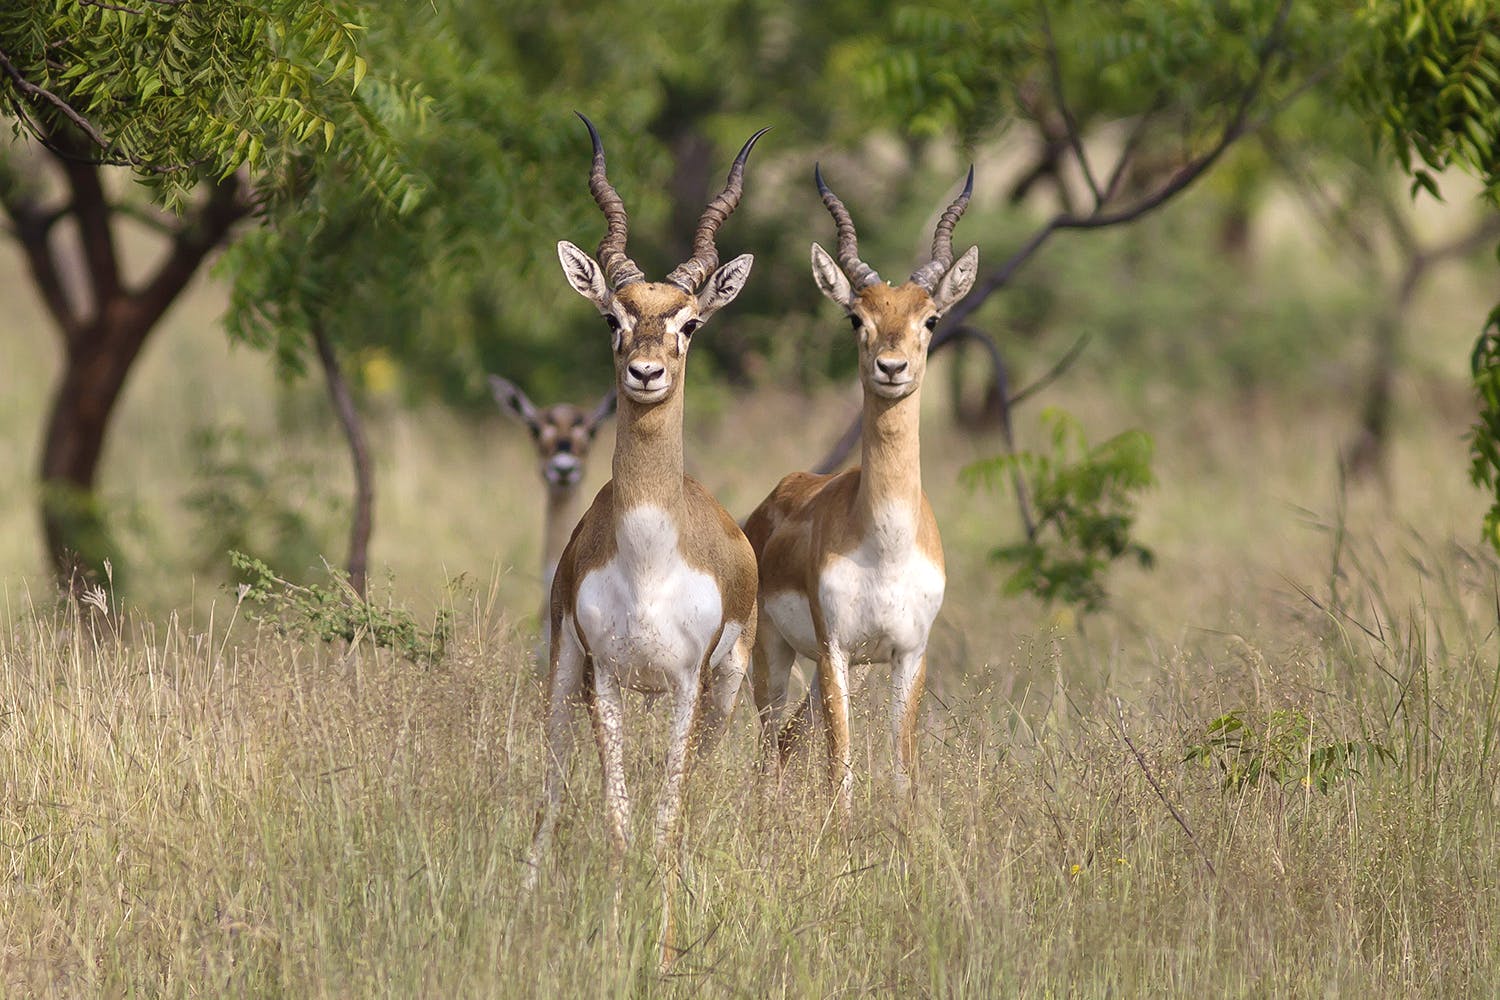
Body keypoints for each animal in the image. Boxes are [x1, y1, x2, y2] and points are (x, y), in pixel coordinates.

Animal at [522, 113, 768, 965]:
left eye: (690, 322)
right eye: (613, 318)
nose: (647, 373)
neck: (650, 559)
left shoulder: (691, 684)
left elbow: (665, 826)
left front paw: (660, 949)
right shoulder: (603, 677)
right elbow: (620, 825)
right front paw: (612, 940)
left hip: (724, 694)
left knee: (694, 800)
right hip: (566, 676)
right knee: (549, 794)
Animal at [744, 164, 978, 815]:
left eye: (930, 318)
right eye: (857, 317)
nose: (891, 368)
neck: (886, 544)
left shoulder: (908, 654)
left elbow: (902, 769)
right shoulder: (837, 651)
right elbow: (840, 769)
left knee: (787, 740)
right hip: (772, 658)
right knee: (769, 746)